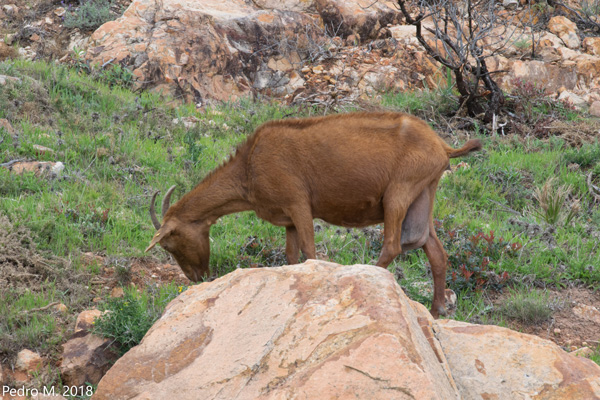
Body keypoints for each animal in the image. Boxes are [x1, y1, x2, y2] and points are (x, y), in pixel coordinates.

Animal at [148, 111, 480, 318]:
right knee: (433, 249)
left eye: (170, 243)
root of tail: (443, 147)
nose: (196, 278)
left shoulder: (298, 204)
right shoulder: (289, 220)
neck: (249, 167)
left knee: (394, 245)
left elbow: (309, 251)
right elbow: (292, 257)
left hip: (399, 192)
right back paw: (436, 312)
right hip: (422, 194)